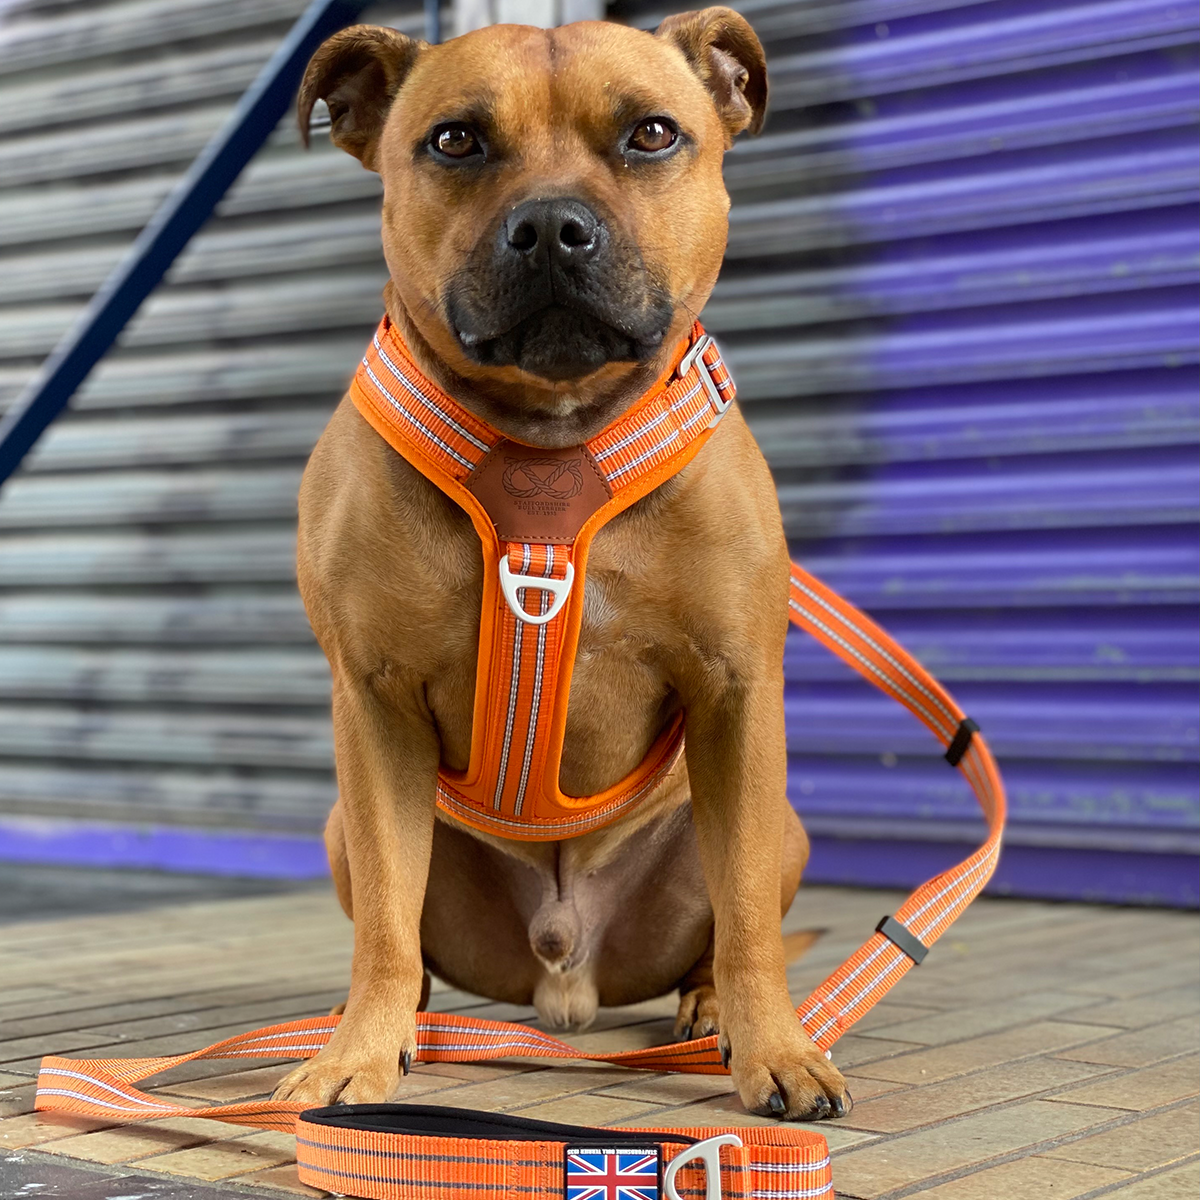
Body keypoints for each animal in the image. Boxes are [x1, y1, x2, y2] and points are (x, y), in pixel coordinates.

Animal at [274, 9, 854, 1118]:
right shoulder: (371, 706)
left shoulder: (737, 693)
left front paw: (779, 1051)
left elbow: (748, 915)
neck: (552, 441)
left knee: (723, 930)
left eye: (652, 134)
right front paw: (356, 1055)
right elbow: (387, 916)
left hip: (786, 826)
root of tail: (565, 973)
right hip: (338, 823)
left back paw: (710, 1010)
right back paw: (389, 1018)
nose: (551, 227)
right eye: (456, 140)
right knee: (405, 938)